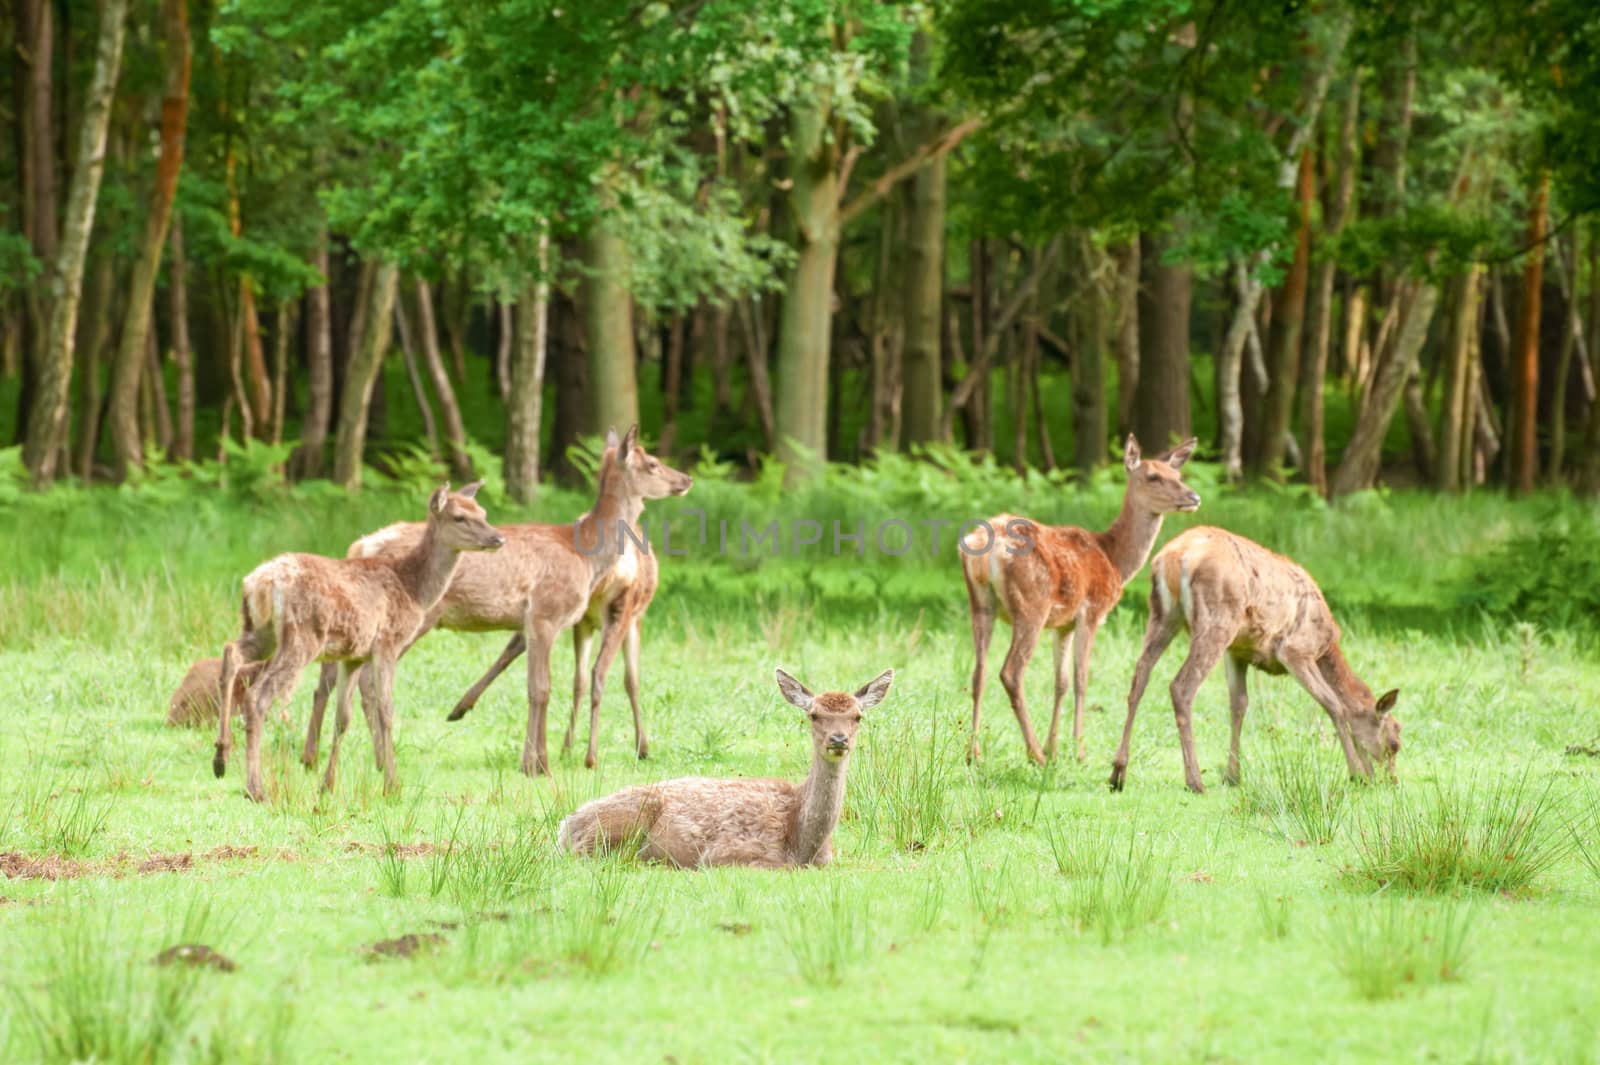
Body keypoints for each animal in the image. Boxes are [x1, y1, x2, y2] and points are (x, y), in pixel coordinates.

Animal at [212, 479, 499, 796]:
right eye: (459, 517)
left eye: (483, 512)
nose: (497, 538)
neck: (413, 588)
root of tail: (261, 583)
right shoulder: (387, 642)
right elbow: (386, 709)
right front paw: (391, 784)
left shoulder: (353, 655)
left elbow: (343, 718)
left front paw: (327, 785)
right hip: (301, 637)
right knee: (258, 695)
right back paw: (255, 788)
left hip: (261, 631)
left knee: (230, 654)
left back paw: (221, 758)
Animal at [302, 428, 691, 777]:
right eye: (652, 463)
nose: (685, 478)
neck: (585, 554)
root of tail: (361, 545)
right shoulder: (545, 613)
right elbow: (541, 689)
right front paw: (539, 765)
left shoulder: (540, 622)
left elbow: (539, 686)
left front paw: (534, 760)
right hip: (411, 620)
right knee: (364, 680)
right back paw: (378, 761)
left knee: (332, 677)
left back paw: (321, 758)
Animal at [560, 668, 889, 869]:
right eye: (814, 714)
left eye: (857, 716)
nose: (838, 739)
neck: (803, 840)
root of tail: (566, 823)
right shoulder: (727, 852)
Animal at [960, 434, 1203, 764]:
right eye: (1153, 476)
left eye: (1178, 475)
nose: (1193, 497)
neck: (1115, 560)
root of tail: (985, 545)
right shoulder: (1092, 611)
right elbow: (1081, 678)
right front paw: (1078, 749)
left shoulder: (1062, 624)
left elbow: (1060, 681)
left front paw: (1055, 747)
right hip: (1031, 605)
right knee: (1011, 672)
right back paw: (1034, 753)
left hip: (980, 602)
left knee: (978, 672)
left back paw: (974, 752)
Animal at [1107, 527, 1408, 793]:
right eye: (1394, 742)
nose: (1391, 782)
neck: (1326, 645)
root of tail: (1174, 557)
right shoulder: (1296, 650)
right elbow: (1335, 704)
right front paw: (1357, 774)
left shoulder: (1237, 651)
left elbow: (1239, 704)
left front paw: (1232, 776)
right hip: (1216, 620)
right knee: (1181, 686)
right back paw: (1194, 781)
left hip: (1163, 614)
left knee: (1140, 674)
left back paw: (1117, 773)